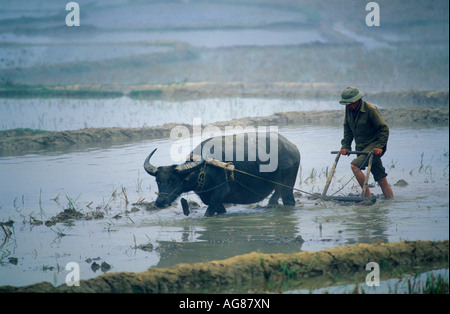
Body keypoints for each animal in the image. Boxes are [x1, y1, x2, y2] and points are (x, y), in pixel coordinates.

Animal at [144, 131, 298, 216]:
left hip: (287, 186)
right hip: (278, 186)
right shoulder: (210, 198)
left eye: (173, 180)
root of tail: (293, 148)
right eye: (158, 181)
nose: (160, 202)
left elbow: (208, 214)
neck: (203, 169)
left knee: (289, 201)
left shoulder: (220, 192)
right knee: (274, 198)